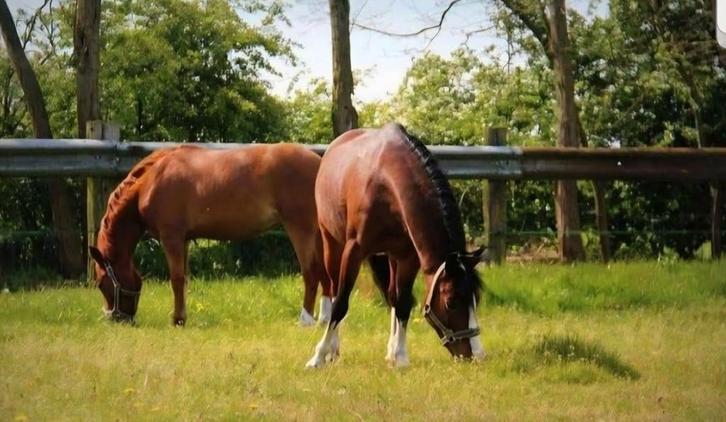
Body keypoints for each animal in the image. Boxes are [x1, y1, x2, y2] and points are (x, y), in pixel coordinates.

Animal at [88, 143, 333, 326]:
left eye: (100, 282)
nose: (116, 319)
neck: (152, 179)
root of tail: (320, 163)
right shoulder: (184, 240)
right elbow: (184, 278)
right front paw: (182, 317)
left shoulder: (171, 237)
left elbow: (176, 279)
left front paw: (177, 320)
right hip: (318, 233)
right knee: (325, 273)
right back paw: (325, 319)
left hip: (300, 228)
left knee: (311, 272)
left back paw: (305, 320)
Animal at [306, 123, 485, 368]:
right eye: (451, 302)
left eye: (476, 299)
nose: (476, 355)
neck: (385, 182)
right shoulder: (353, 251)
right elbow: (341, 302)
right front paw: (318, 356)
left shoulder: (408, 257)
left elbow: (402, 303)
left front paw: (400, 357)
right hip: (331, 243)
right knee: (333, 291)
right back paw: (333, 349)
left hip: (391, 256)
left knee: (391, 294)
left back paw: (389, 351)